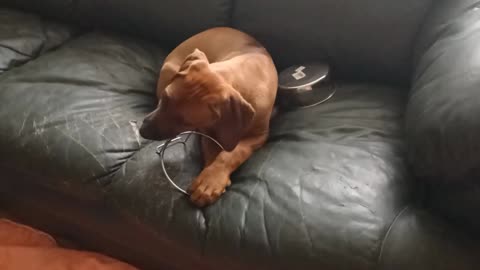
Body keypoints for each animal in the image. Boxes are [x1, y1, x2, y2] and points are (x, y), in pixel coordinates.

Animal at [139, 26, 278, 207]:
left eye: (185, 122)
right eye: (164, 98)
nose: (142, 131)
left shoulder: (258, 135)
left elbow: (234, 153)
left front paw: (211, 180)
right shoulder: (206, 130)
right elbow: (213, 150)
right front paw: (210, 178)